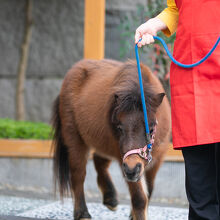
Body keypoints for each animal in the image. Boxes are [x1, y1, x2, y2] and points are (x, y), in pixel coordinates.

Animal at [52, 58, 171, 220]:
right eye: (119, 128)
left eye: (151, 128)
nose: (132, 169)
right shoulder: (125, 162)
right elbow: (140, 198)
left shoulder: (156, 160)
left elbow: (149, 190)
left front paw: (132, 214)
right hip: (75, 139)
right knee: (78, 174)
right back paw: (82, 213)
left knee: (99, 162)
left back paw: (110, 198)